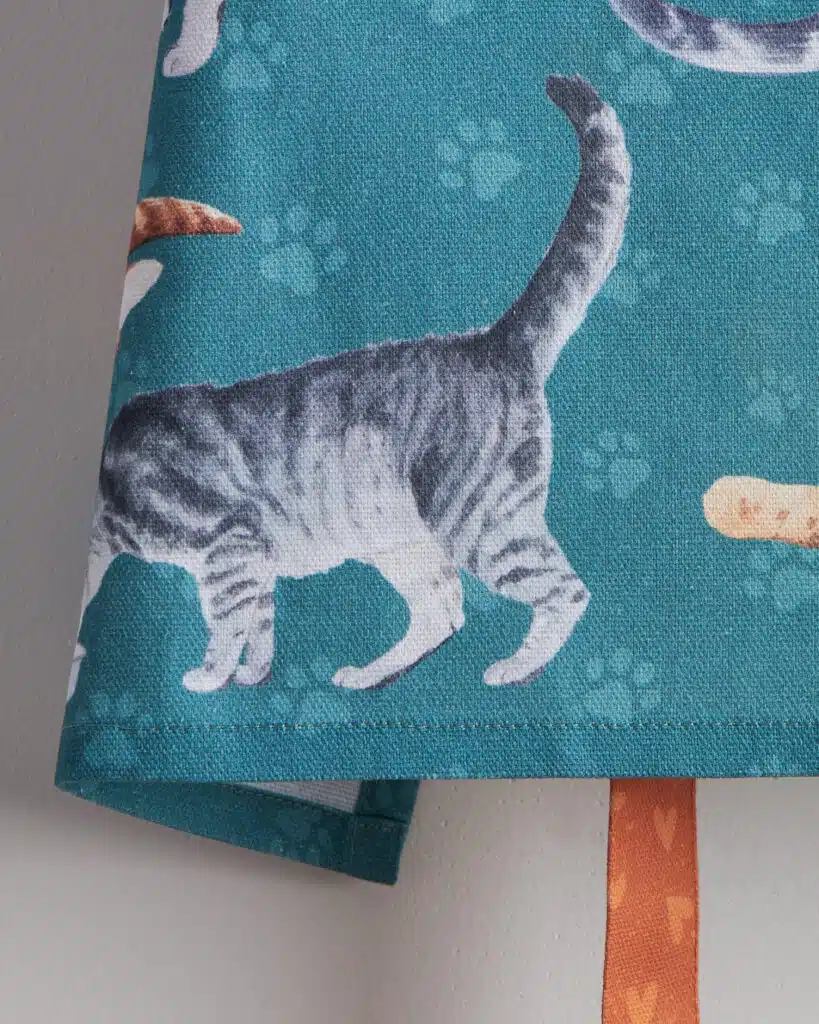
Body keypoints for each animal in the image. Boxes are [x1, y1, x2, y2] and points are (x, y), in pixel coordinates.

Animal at [69, 74, 631, 699]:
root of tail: (491, 341)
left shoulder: (228, 545)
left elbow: (226, 624)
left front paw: (211, 676)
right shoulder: (250, 560)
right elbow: (259, 623)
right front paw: (254, 674)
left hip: (480, 518)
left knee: (566, 589)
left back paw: (517, 668)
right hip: (404, 542)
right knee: (444, 611)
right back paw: (372, 676)